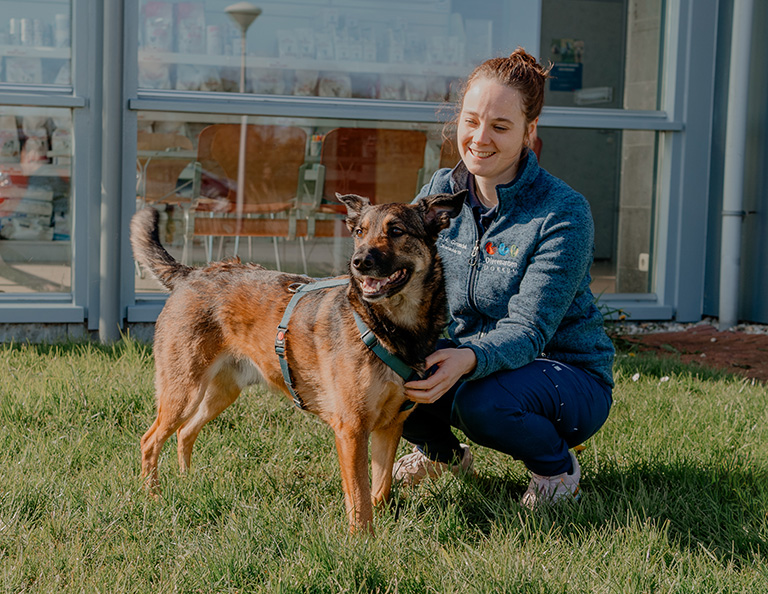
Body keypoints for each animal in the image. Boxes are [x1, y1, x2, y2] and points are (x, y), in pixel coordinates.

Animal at [130, 191, 464, 532]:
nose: (359, 263)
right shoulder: (352, 429)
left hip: (220, 393)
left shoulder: (390, 425)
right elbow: (359, 495)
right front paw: (362, 540)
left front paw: (378, 530)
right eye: (359, 232)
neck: (389, 327)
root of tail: (193, 273)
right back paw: (153, 496)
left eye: (396, 231)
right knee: (150, 440)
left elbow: (379, 489)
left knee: (185, 432)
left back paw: (187, 482)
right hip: (183, 392)